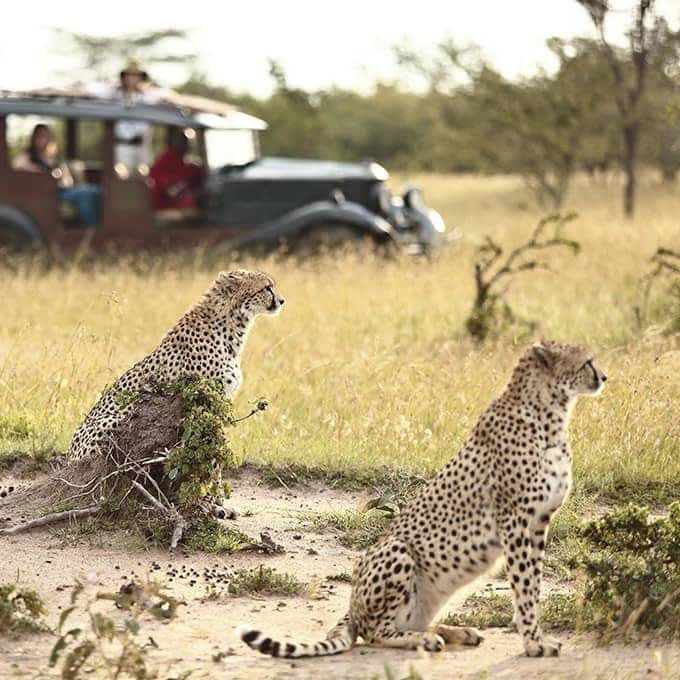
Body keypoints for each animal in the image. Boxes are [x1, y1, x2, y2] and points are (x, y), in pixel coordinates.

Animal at [67, 268, 284, 464]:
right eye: (267, 287)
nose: (282, 301)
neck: (231, 325)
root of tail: (70, 458)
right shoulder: (202, 399)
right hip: (117, 417)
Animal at [238, 342, 604, 656]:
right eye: (587, 361)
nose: (604, 377)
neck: (550, 414)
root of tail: (351, 605)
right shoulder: (515, 521)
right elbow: (525, 587)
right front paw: (533, 643)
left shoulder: (540, 522)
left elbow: (534, 584)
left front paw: (534, 637)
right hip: (396, 550)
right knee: (375, 633)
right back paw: (423, 640)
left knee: (412, 620)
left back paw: (454, 631)